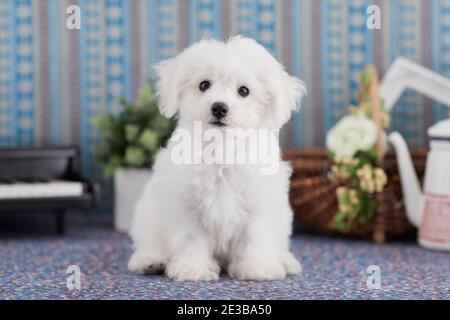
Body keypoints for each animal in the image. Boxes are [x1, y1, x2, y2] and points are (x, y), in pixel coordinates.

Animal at [128, 37, 308, 280]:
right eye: (204, 85)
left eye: (243, 91)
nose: (219, 107)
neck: (220, 147)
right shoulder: (187, 204)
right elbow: (191, 238)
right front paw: (192, 268)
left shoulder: (259, 204)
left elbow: (255, 237)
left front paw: (257, 267)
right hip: (148, 215)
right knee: (150, 241)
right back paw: (150, 260)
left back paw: (285, 261)